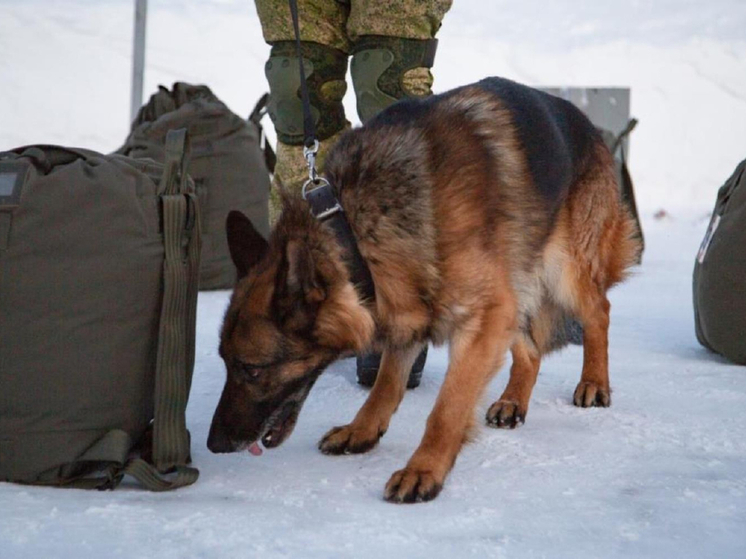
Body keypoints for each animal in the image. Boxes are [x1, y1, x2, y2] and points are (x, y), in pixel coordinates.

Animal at [206, 77, 636, 504]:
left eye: (252, 369)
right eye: (226, 362)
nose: (214, 445)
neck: (354, 234)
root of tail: (585, 122)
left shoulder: (482, 318)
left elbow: (447, 408)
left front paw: (423, 470)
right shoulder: (410, 305)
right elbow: (385, 384)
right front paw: (361, 431)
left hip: (563, 270)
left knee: (599, 310)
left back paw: (594, 382)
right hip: (515, 281)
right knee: (530, 349)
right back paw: (513, 400)